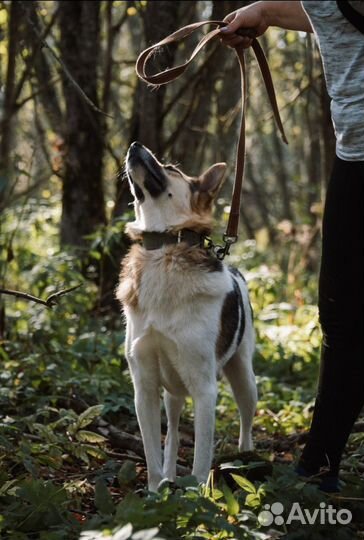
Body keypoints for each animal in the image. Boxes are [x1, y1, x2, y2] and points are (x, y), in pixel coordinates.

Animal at [116, 141, 256, 492]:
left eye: (172, 169)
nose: (134, 145)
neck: (165, 249)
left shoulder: (205, 391)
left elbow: (200, 460)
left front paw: (196, 497)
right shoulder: (144, 388)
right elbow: (153, 452)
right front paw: (156, 491)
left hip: (243, 377)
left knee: (246, 419)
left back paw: (248, 457)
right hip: (172, 393)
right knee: (174, 433)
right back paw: (169, 474)